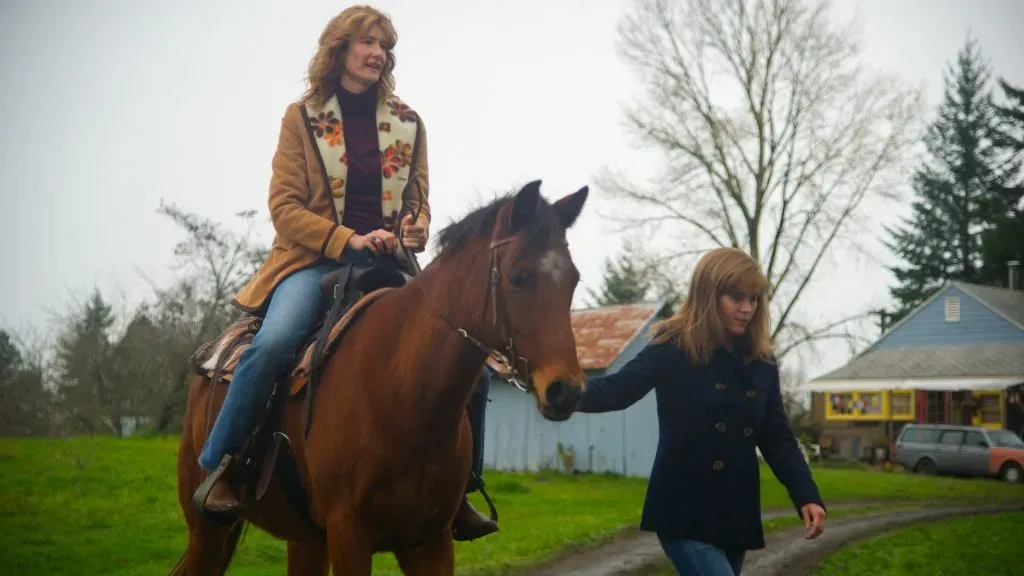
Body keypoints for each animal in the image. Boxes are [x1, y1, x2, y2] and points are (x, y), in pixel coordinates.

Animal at [175, 178, 589, 569]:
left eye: (574, 280)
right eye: (518, 277)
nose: (565, 390)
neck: (400, 391)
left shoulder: (430, 541)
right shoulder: (349, 535)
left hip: (305, 540)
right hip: (207, 532)